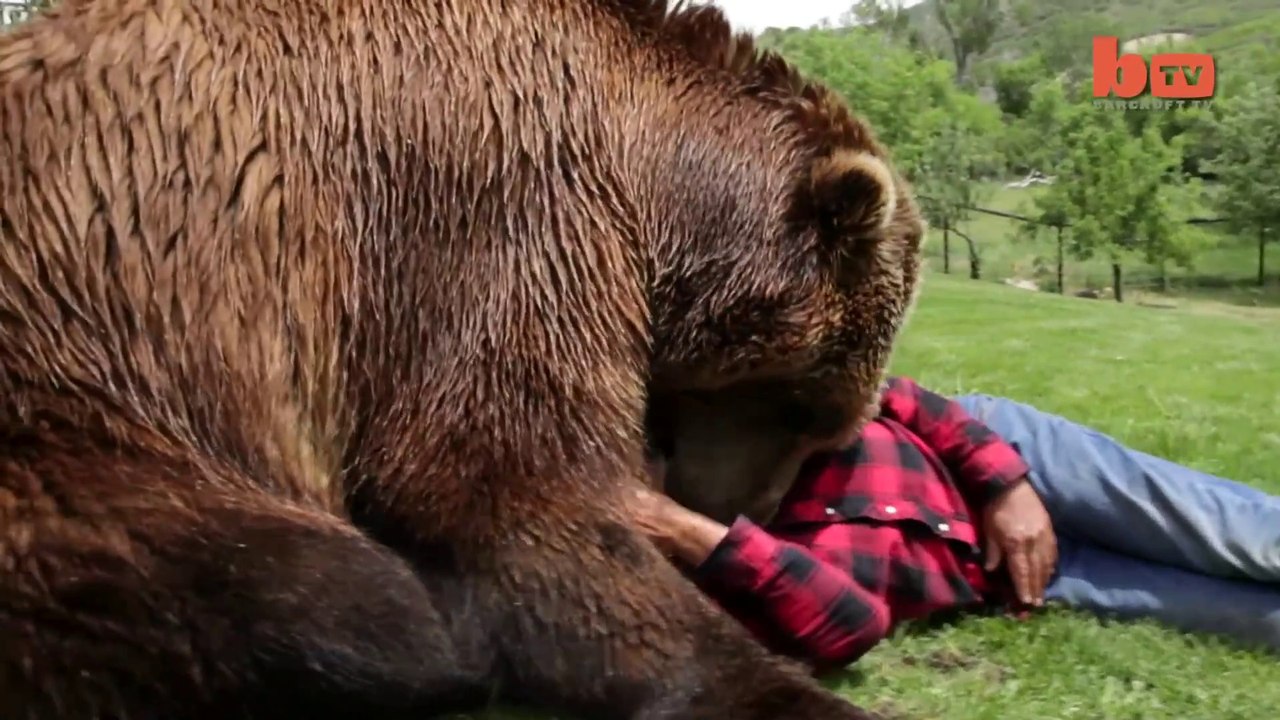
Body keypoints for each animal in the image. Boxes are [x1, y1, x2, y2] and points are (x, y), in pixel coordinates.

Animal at [0, 1, 925, 719]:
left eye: (826, 424)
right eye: (806, 406)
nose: (748, 515)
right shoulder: (495, 215)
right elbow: (499, 483)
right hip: (87, 406)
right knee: (310, 587)